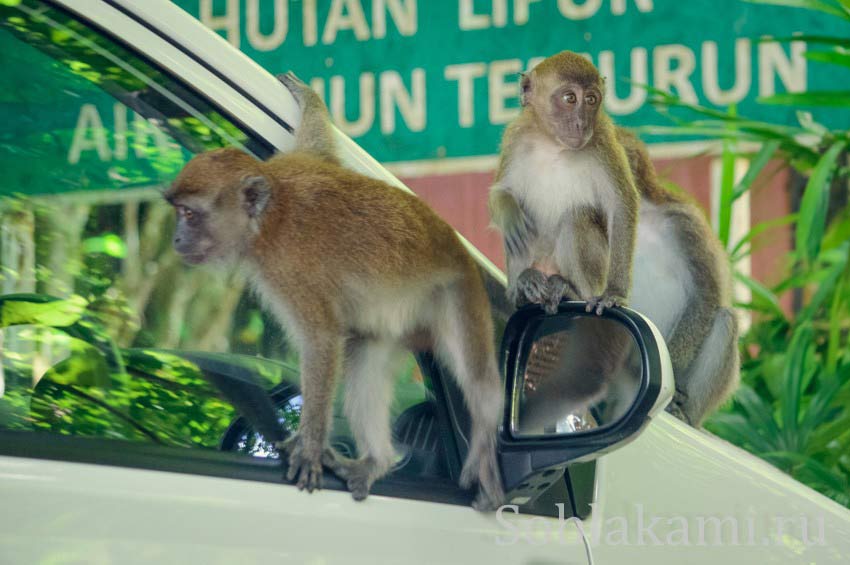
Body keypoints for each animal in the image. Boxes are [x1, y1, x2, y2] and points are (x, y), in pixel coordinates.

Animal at [166, 72, 504, 508]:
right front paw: (309, 98)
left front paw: (309, 446)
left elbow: (321, 337)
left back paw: (485, 442)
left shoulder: (288, 268)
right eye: (178, 212)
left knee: (477, 381)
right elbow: (320, 147)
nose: (175, 239)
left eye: (189, 214)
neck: (270, 217)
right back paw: (376, 461)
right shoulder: (291, 165)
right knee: (364, 355)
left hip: (455, 290)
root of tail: (457, 243)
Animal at [486, 51, 740, 424]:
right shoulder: (515, 138)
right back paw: (524, 286)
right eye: (570, 98)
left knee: (723, 320)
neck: (553, 146)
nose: (582, 124)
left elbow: (703, 293)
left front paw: (614, 295)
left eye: (592, 100)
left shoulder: (683, 222)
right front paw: (507, 212)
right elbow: (504, 193)